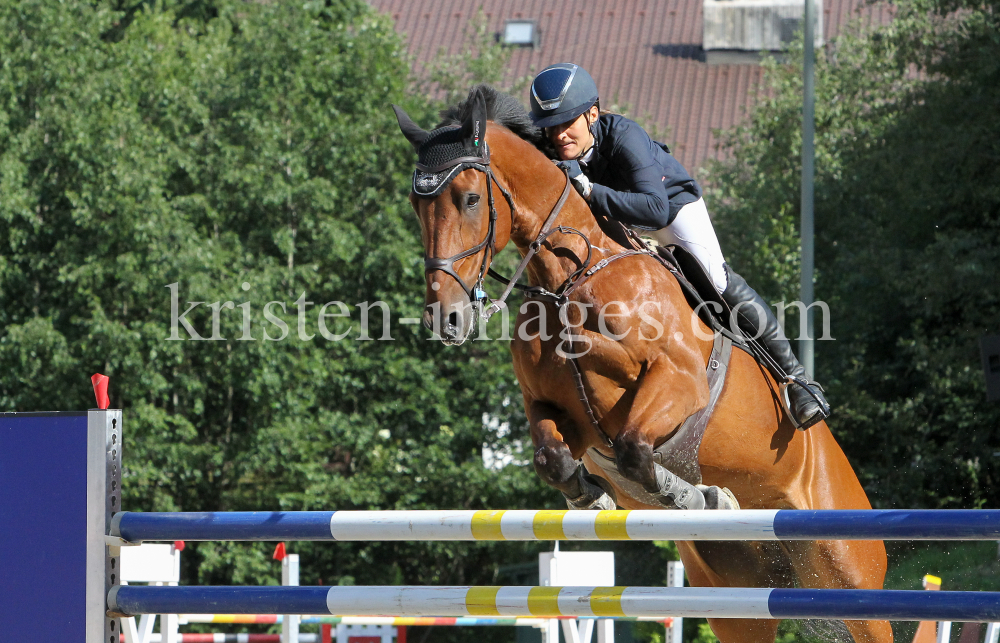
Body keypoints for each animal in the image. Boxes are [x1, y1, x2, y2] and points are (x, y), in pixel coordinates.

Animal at [390, 87, 892, 643]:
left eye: (471, 199)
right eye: (416, 205)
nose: (446, 319)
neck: (568, 277)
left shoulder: (679, 383)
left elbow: (633, 449)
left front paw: (705, 500)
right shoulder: (550, 408)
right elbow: (553, 457)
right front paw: (592, 497)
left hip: (853, 580)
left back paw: (803, 399)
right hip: (738, 604)